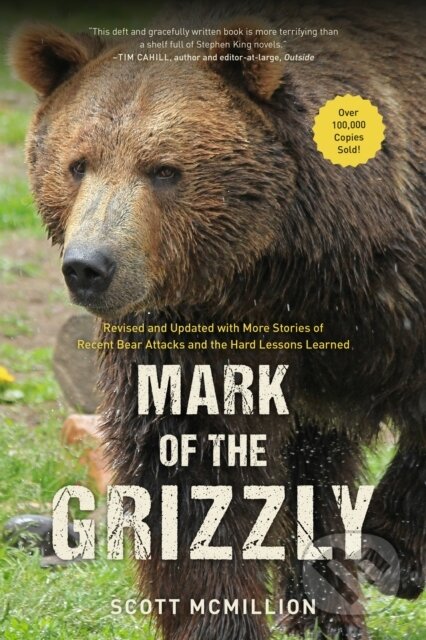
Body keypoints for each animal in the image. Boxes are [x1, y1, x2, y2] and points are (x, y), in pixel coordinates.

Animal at [9, 1, 425, 638]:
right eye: (78, 164)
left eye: (163, 169)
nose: (88, 266)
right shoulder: (191, 332)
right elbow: (191, 471)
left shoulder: (394, 286)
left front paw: (395, 546)